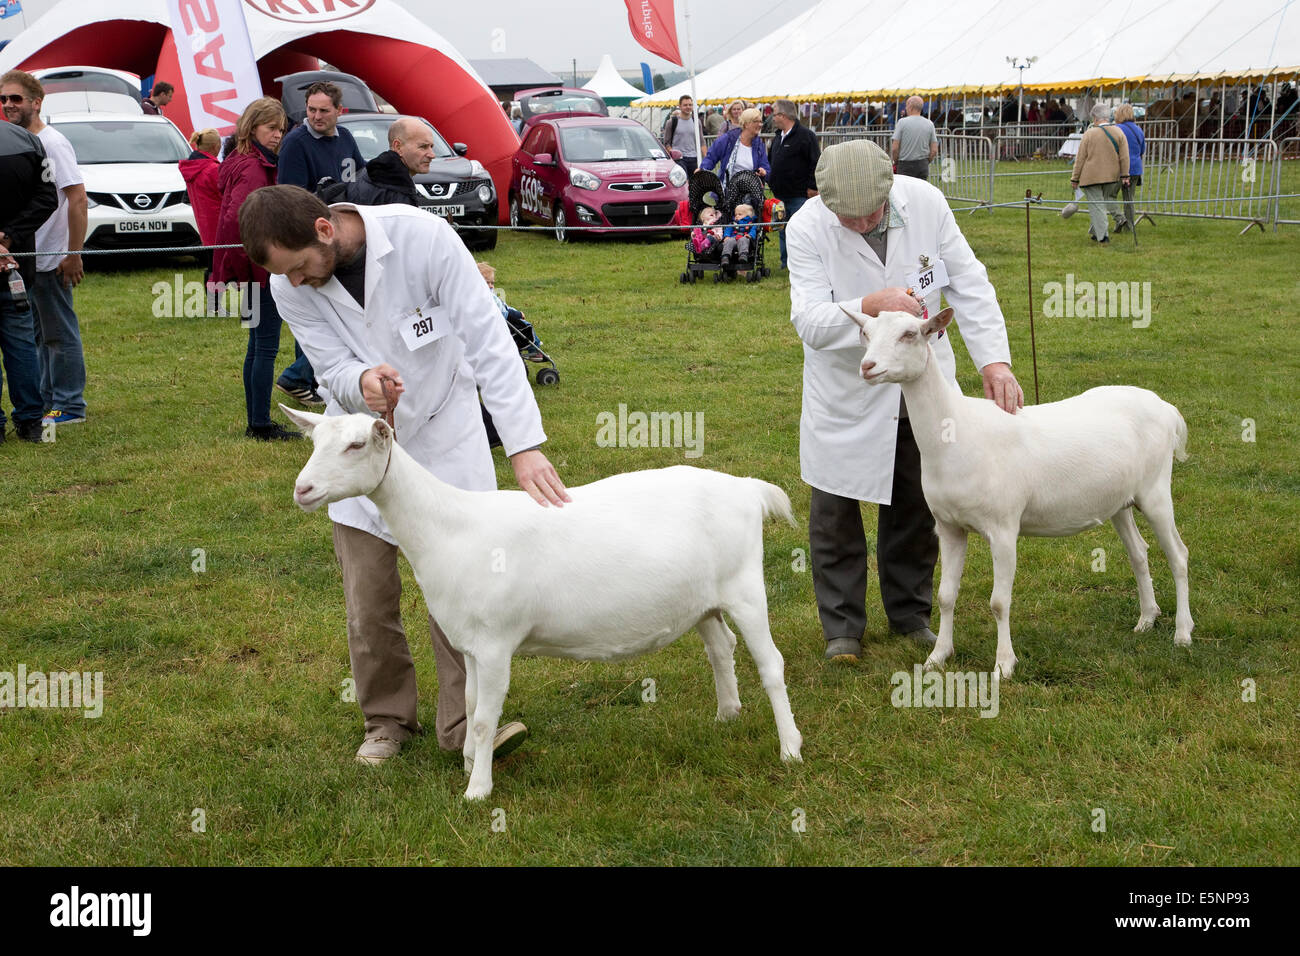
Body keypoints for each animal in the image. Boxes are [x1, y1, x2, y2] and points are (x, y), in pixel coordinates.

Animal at [284, 405, 800, 801]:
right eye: (315, 442)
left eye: (355, 446)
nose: (302, 490)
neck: (451, 527)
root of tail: (747, 487)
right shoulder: (471, 644)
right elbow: (470, 705)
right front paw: (470, 763)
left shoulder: (496, 645)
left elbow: (485, 718)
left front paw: (477, 791)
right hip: (702, 599)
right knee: (721, 647)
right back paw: (726, 717)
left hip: (745, 588)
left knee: (772, 664)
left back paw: (790, 748)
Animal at [842, 308, 1190, 681]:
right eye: (865, 332)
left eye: (910, 334)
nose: (868, 366)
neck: (957, 434)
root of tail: (1167, 408)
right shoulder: (949, 526)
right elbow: (946, 595)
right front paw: (938, 657)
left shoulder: (1004, 526)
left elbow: (999, 602)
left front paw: (1004, 665)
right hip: (1120, 501)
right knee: (1139, 552)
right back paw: (1147, 619)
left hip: (1156, 490)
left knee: (1178, 555)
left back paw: (1182, 633)